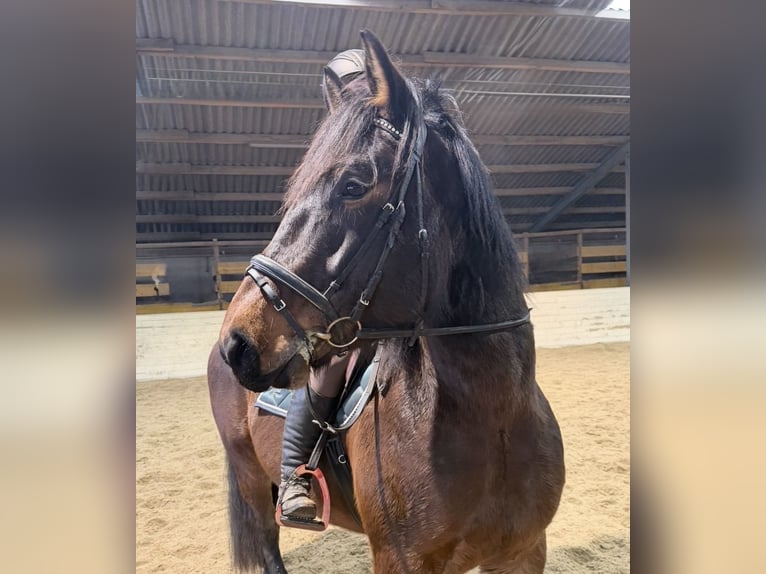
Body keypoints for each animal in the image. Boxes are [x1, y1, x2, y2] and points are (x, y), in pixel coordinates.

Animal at [208, 30, 565, 574]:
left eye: (352, 185)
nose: (239, 341)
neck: (494, 414)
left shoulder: (524, 551)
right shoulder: (402, 559)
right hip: (250, 479)